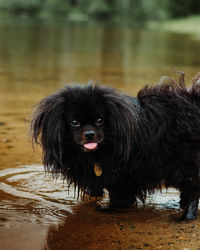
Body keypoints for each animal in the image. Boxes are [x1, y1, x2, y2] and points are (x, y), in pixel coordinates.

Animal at [30, 73, 200, 220]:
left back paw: (186, 216)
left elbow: (120, 198)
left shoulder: (124, 177)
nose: (90, 133)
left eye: (100, 121)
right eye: (75, 122)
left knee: (193, 190)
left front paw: (110, 209)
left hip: (185, 165)